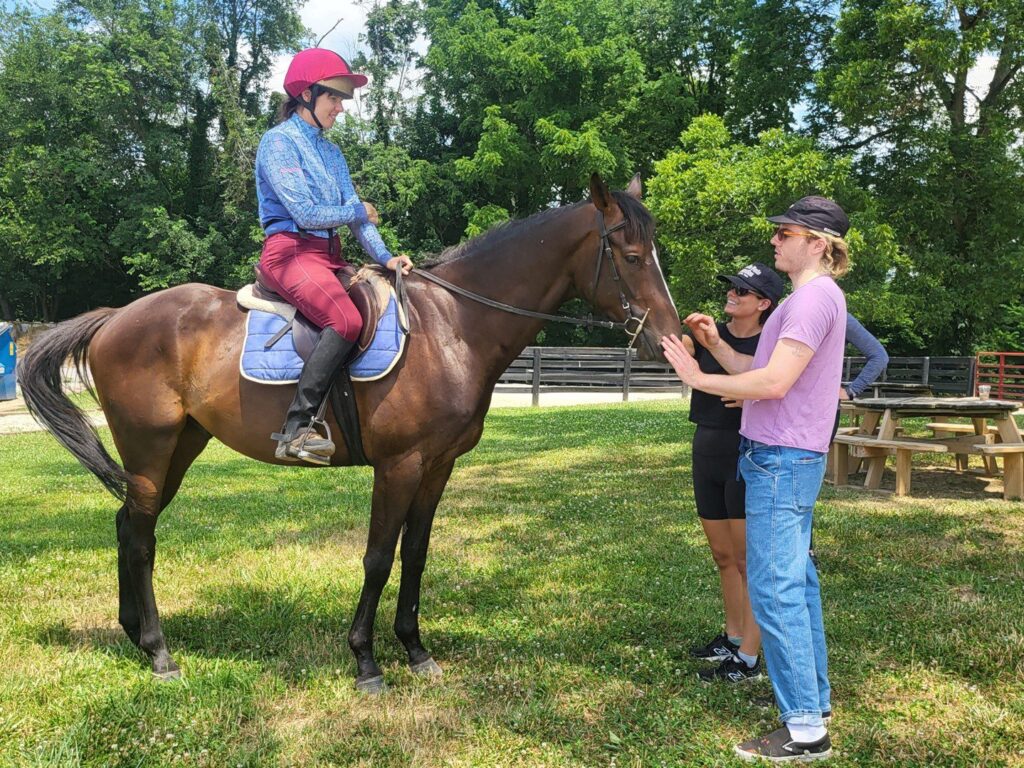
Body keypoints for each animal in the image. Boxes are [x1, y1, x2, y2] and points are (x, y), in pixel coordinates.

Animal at [19, 173, 682, 693]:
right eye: (629, 256)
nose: (668, 340)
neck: (453, 327)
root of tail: (116, 318)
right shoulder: (400, 465)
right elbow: (377, 557)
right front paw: (365, 660)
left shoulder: (438, 465)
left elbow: (415, 554)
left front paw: (415, 650)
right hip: (150, 447)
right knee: (140, 538)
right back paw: (160, 653)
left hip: (180, 445)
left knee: (128, 523)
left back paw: (135, 634)